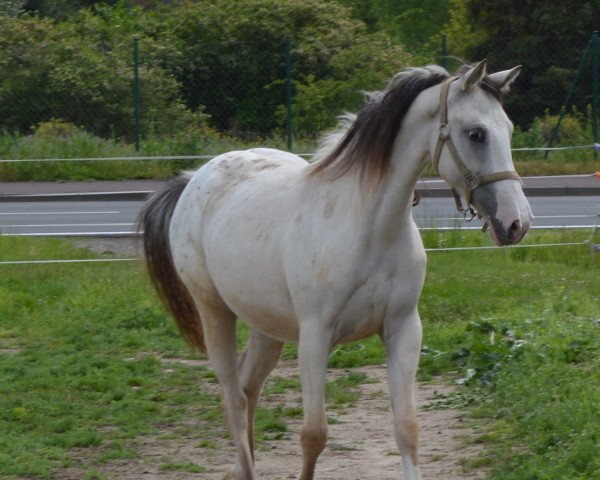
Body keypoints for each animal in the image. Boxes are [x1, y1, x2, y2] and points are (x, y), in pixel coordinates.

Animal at [142, 61, 536, 480]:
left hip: (267, 327)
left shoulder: (403, 330)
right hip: (214, 311)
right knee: (232, 399)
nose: (517, 222)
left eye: (509, 129)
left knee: (248, 390)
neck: (369, 227)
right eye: (476, 134)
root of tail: (193, 180)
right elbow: (313, 435)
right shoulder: (315, 338)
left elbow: (407, 428)